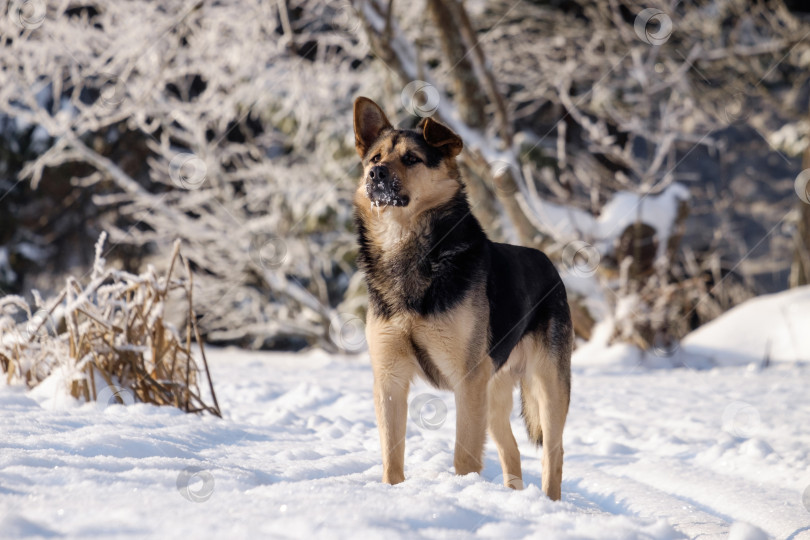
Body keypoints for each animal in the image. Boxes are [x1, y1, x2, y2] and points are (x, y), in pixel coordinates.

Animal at [350, 97, 572, 502]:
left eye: (411, 159)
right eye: (375, 158)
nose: (375, 175)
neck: (406, 248)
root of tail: (549, 263)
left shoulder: (467, 380)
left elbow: (463, 456)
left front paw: (461, 492)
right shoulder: (389, 378)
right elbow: (391, 451)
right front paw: (391, 492)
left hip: (547, 385)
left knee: (554, 450)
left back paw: (550, 504)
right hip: (494, 392)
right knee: (511, 449)